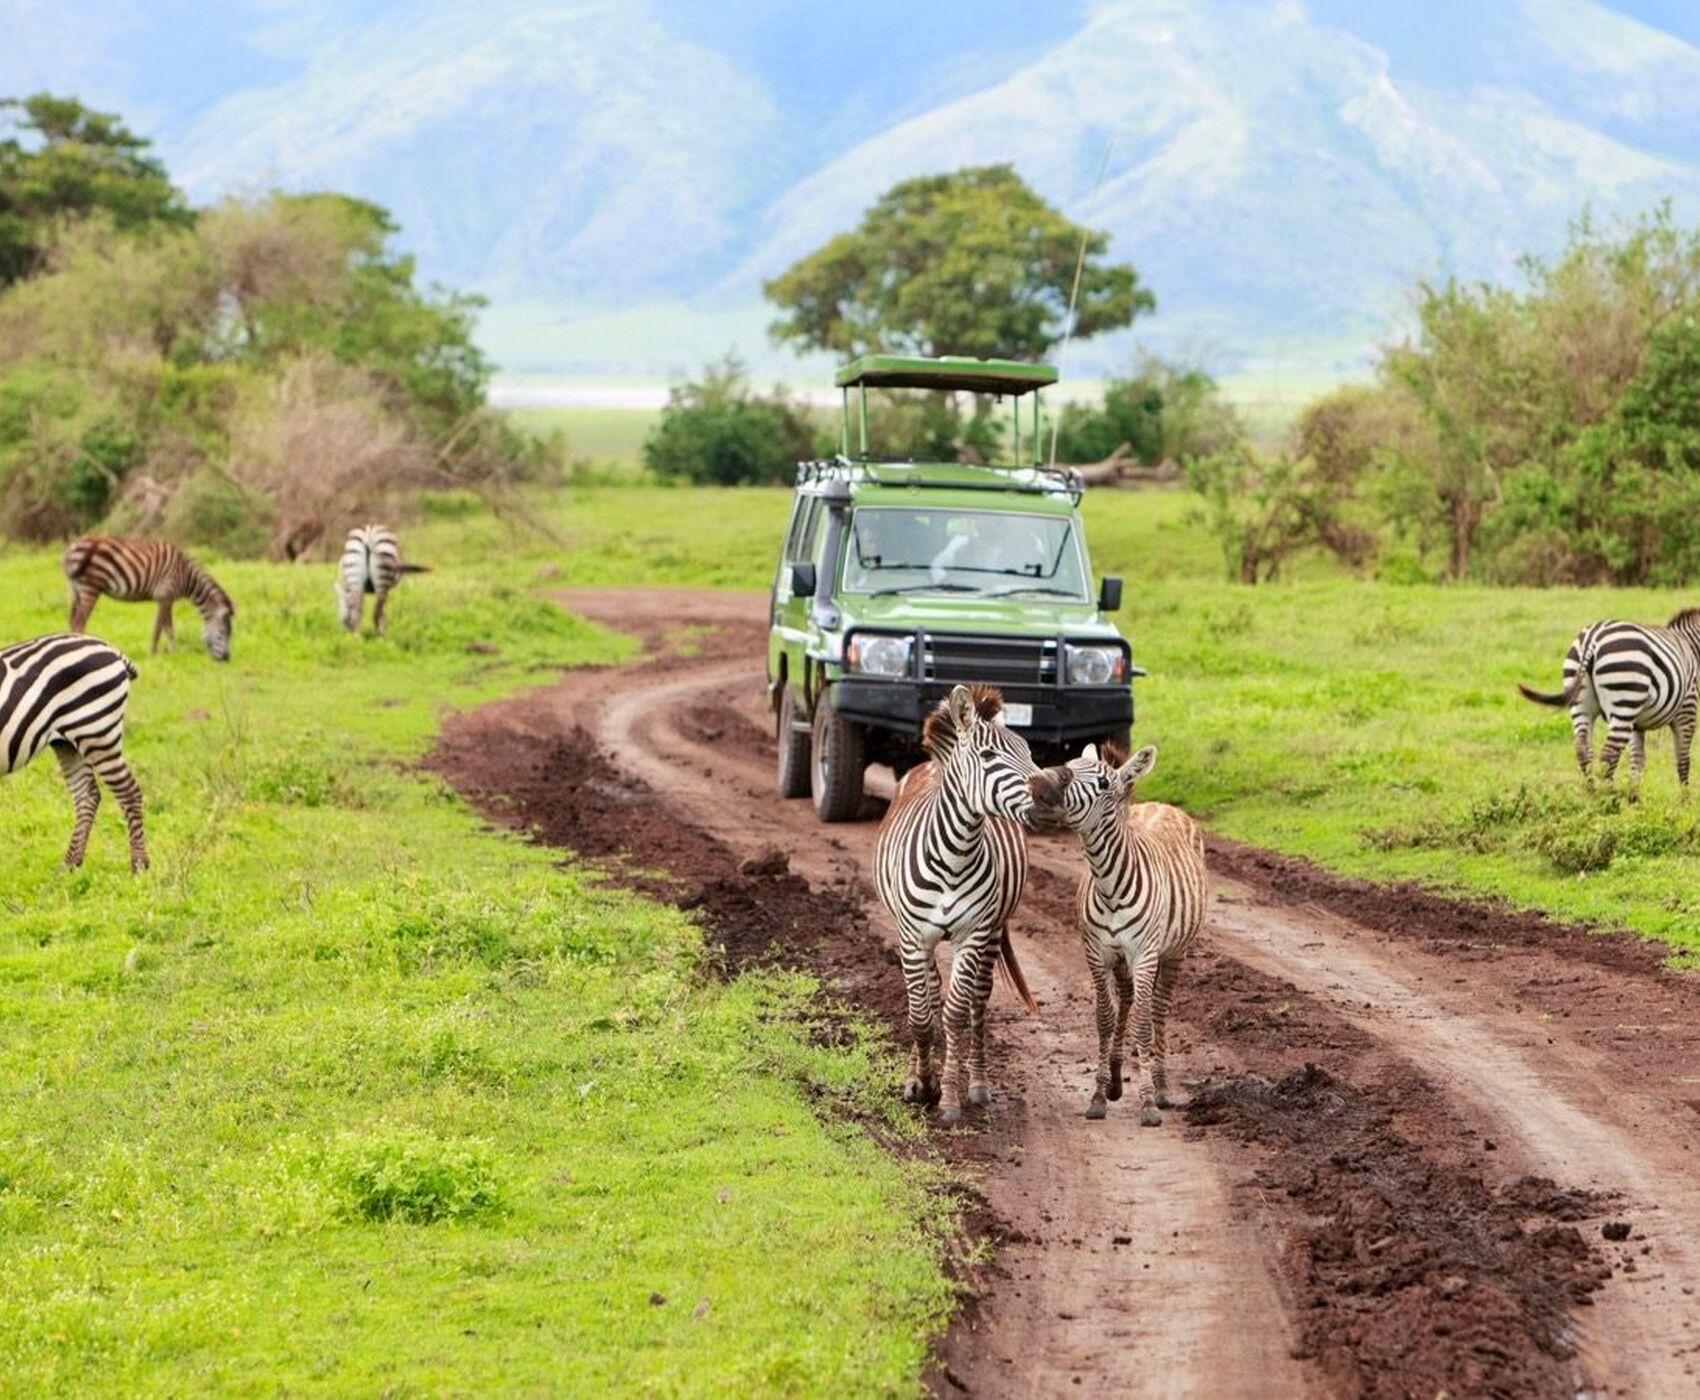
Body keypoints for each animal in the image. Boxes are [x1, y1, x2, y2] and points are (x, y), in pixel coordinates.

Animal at [0, 635, 149, 876]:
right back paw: (69, 866)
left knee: (129, 792)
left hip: (97, 732)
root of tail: (111, 649)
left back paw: (139, 866)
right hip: (67, 742)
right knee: (87, 794)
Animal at [62, 540, 234, 666]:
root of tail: (72, 548)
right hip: (91, 585)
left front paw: (172, 652)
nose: (226, 660)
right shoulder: (165, 594)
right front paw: (155, 654)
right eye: (222, 633)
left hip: (75, 588)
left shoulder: (167, 598)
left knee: (72, 619)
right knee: (79, 621)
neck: (187, 577)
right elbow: (161, 627)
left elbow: (167, 627)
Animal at [1060, 744, 1210, 1128]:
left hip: (1173, 953)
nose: (1045, 789)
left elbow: (1143, 1023)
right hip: (1123, 959)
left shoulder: (1144, 954)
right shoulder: (1096, 953)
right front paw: (1099, 1096)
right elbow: (1104, 1017)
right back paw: (1116, 1078)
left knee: (1157, 1009)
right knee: (1127, 1001)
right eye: (1068, 768)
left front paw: (1148, 1103)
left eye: (1102, 783)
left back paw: (1161, 1087)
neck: (1109, 884)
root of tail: (1163, 805)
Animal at [1516, 608, 1700, 791]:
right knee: (1608, 754)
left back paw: (1591, 792)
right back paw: (1609, 795)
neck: (1692, 645)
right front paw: (1685, 798)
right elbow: (1683, 760)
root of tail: (1591, 639)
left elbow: (1637, 761)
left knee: (1583, 749)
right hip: (1624, 702)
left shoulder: (1637, 723)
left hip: (1581, 702)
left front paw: (1634, 796)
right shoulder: (1687, 709)